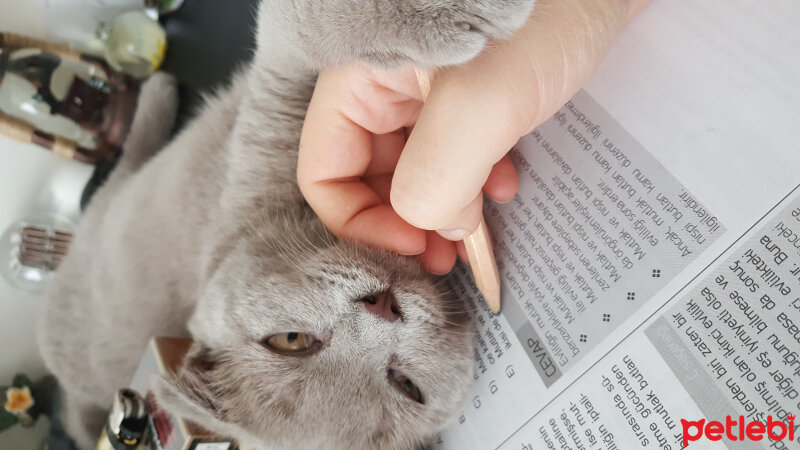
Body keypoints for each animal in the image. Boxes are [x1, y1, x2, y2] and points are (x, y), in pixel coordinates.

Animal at [39, 1, 536, 448]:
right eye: (292, 340)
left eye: (406, 385)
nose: (383, 307)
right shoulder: (271, 123)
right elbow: (305, 29)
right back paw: (158, 87)